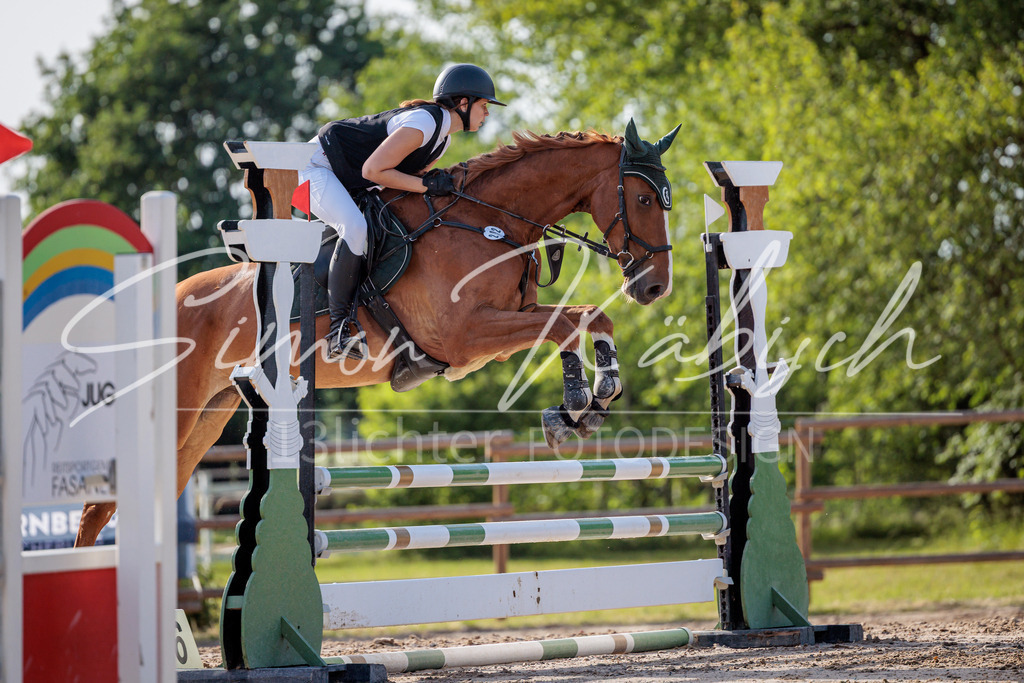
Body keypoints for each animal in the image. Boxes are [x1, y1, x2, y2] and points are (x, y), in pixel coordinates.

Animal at [73, 120, 681, 547]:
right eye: (643, 199)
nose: (655, 287)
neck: (491, 221)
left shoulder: (487, 337)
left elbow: (588, 316)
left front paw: (593, 400)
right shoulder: (464, 335)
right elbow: (566, 321)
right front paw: (576, 403)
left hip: (208, 416)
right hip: (179, 411)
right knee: (99, 510)